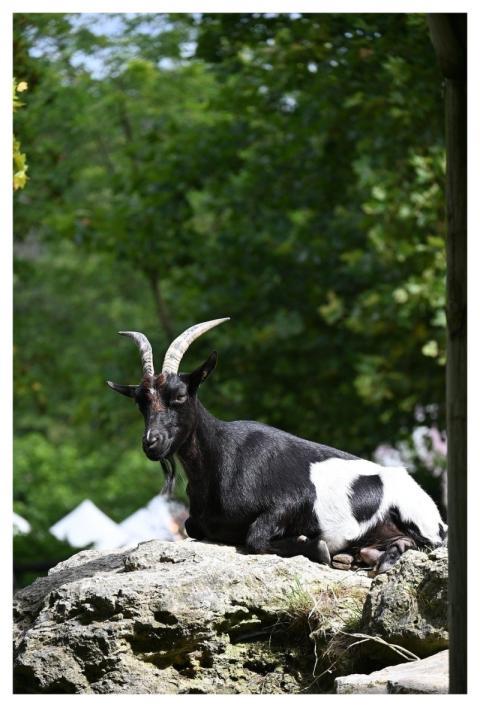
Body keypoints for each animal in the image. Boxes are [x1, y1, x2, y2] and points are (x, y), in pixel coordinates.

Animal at [107, 319, 447, 574]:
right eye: (140, 402)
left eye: (179, 396)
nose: (151, 442)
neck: (220, 459)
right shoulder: (195, 522)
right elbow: (193, 526)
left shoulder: (291, 500)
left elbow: (255, 537)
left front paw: (317, 547)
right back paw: (361, 556)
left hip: (419, 518)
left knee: (426, 543)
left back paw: (378, 558)